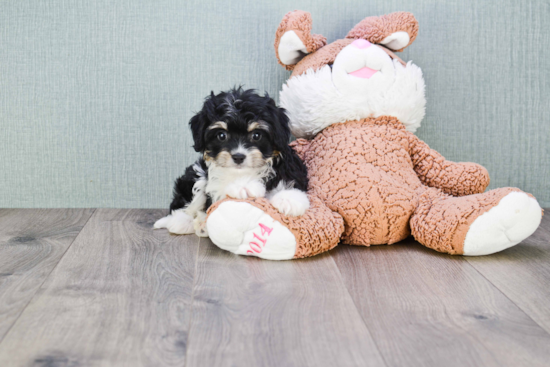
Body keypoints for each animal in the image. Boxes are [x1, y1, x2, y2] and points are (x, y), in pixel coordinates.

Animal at [155, 89, 310, 239]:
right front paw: (244, 185)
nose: (238, 157)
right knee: (185, 203)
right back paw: (181, 222)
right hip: (194, 174)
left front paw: (289, 199)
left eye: (256, 135)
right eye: (221, 135)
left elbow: (289, 181)